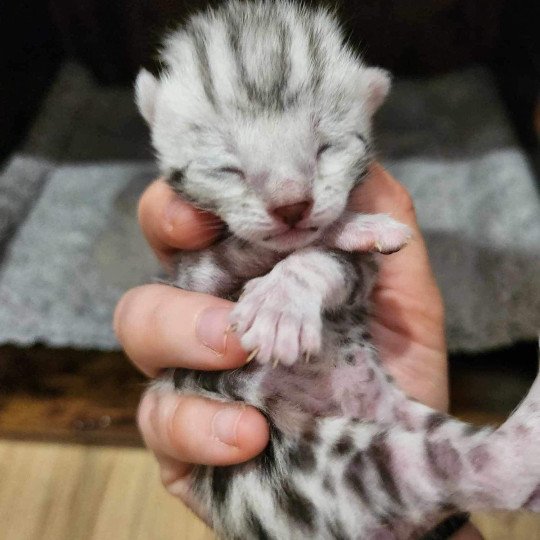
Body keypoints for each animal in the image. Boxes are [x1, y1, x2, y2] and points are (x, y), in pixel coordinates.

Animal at [136, 2, 540, 536]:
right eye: (227, 167)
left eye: (326, 147)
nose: (291, 205)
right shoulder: (197, 276)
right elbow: (248, 244)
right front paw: (349, 229)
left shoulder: (360, 281)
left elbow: (319, 257)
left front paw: (285, 299)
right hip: (339, 466)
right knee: (497, 470)